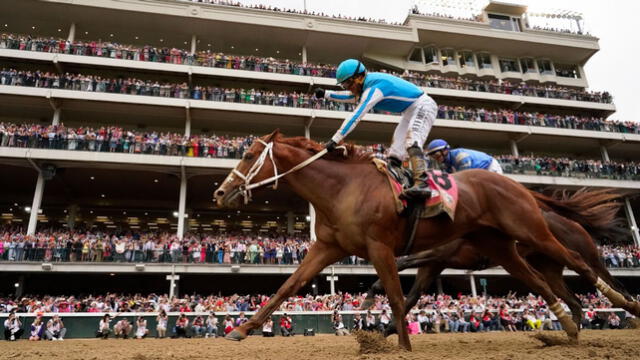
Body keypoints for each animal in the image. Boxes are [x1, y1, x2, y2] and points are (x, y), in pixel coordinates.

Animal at [362, 190, 632, 334]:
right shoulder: (433, 264)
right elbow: (412, 297)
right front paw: (387, 330)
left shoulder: (437, 256)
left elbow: (401, 264)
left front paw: (371, 296)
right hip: (549, 268)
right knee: (574, 301)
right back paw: (573, 330)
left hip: (589, 258)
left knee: (615, 286)